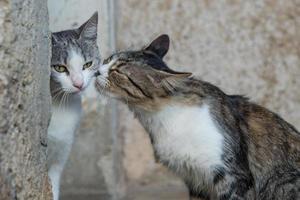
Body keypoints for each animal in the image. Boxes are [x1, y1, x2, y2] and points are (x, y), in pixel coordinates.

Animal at [95, 34, 300, 200]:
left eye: (118, 71)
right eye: (108, 59)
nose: (96, 70)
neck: (160, 117)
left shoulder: (233, 178)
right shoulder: (195, 181)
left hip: (283, 183)